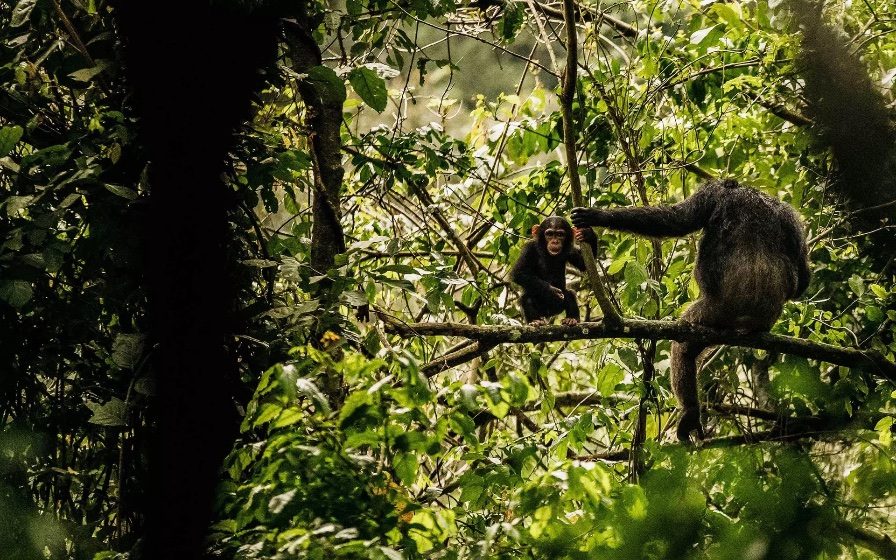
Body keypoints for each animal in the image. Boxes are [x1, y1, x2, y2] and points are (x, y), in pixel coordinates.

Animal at [571, 179, 811, 442]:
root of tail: (750, 320)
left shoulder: (711, 194)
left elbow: (676, 219)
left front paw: (596, 216)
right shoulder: (792, 218)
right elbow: (803, 273)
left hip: (709, 313)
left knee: (682, 347)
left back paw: (690, 413)